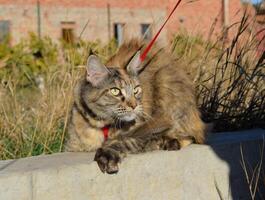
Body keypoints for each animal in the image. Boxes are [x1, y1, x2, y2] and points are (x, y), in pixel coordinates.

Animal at [65, 39, 205, 173]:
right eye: (115, 91)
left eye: (136, 90)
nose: (134, 105)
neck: (103, 126)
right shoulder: (73, 145)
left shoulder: (147, 130)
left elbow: (125, 141)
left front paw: (107, 154)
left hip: (166, 85)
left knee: (189, 135)